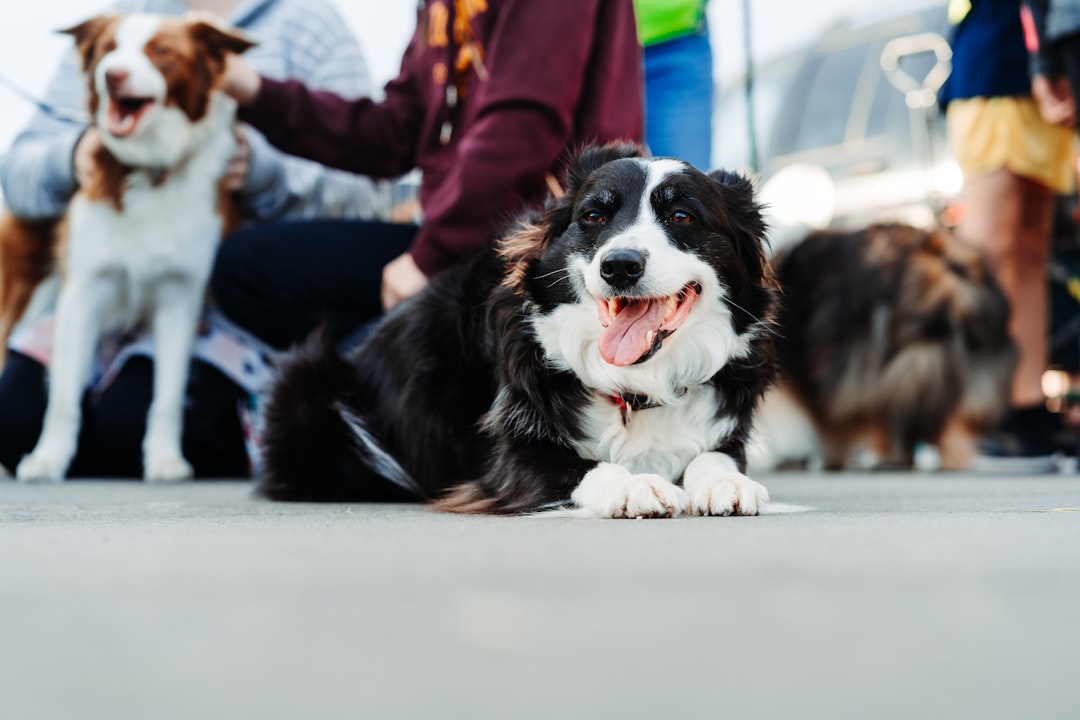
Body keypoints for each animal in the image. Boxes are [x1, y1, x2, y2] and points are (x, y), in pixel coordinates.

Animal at [10, 11, 250, 481]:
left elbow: (167, 397)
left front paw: (165, 459)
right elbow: (63, 399)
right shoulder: (82, 292)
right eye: (108, 49)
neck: (149, 168)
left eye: (161, 51)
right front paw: (49, 459)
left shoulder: (180, 297)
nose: (112, 75)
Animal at [259, 144, 777, 518]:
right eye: (593, 216)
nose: (619, 266)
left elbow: (714, 456)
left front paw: (727, 482)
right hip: (306, 381)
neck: (635, 387)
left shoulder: (723, 429)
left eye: (682, 216)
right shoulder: (512, 456)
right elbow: (583, 466)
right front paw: (634, 486)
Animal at [751, 225, 1010, 472]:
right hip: (956, 367)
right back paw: (948, 460)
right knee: (952, 419)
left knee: (891, 414)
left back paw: (888, 459)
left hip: (880, 366)